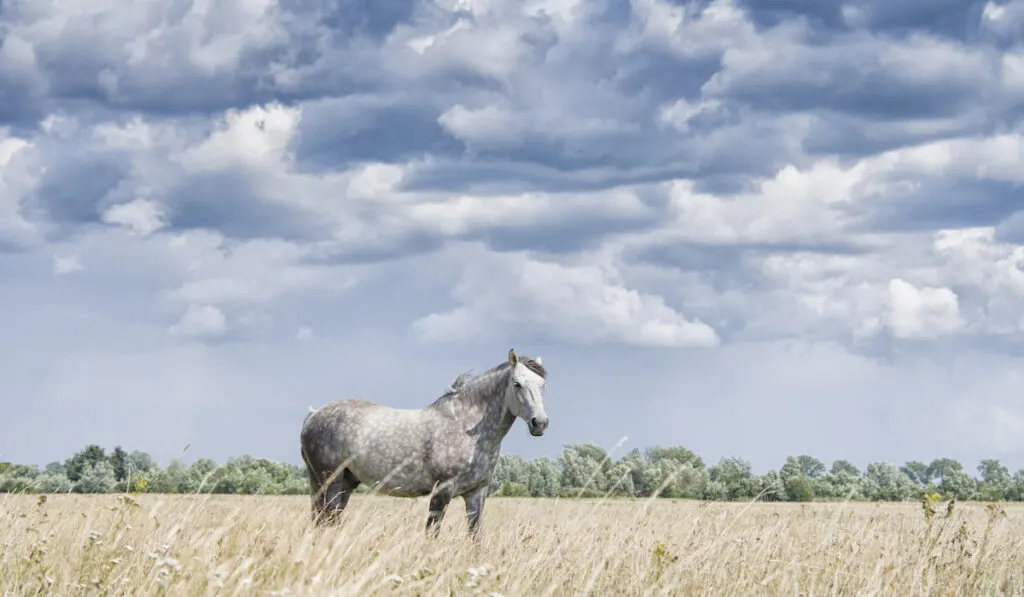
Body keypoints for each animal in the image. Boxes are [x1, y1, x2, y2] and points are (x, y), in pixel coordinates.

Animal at [299, 348, 548, 536]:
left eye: (542, 385)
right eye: (517, 384)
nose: (540, 423)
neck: (465, 426)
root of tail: (313, 415)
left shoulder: (477, 493)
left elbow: (475, 535)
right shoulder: (442, 491)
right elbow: (432, 534)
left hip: (344, 482)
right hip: (330, 481)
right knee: (325, 520)